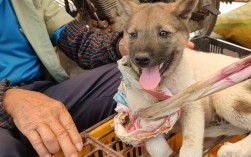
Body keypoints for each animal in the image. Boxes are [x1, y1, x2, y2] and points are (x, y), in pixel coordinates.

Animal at [114, 0, 251, 157]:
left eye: (163, 33)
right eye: (133, 34)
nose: (141, 59)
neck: (161, 86)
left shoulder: (193, 109)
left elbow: (190, 146)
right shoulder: (143, 115)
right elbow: (157, 147)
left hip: (223, 96)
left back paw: (234, 149)